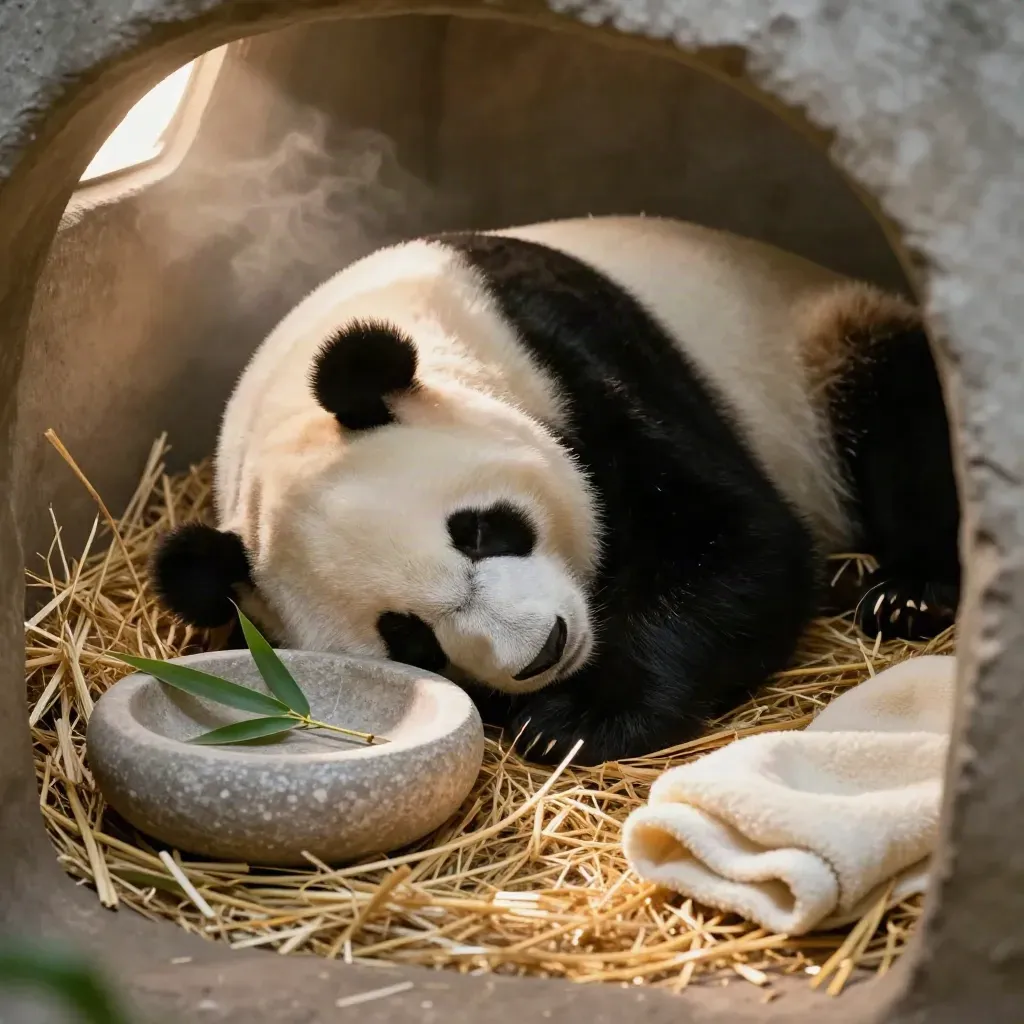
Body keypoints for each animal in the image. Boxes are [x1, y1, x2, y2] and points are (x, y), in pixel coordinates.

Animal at [151, 215, 960, 767]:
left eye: (478, 530)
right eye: (408, 638)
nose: (540, 652)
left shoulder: (572, 355)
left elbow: (741, 543)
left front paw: (577, 718)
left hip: (822, 348)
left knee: (905, 420)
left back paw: (905, 592)